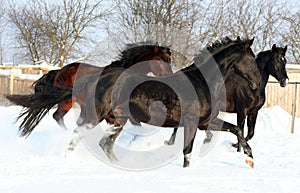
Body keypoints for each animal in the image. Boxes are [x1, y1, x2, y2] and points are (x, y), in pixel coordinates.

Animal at [22, 43, 172, 130]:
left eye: (169, 60)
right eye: (160, 60)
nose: (170, 77)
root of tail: (59, 71)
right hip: (68, 101)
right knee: (58, 116)